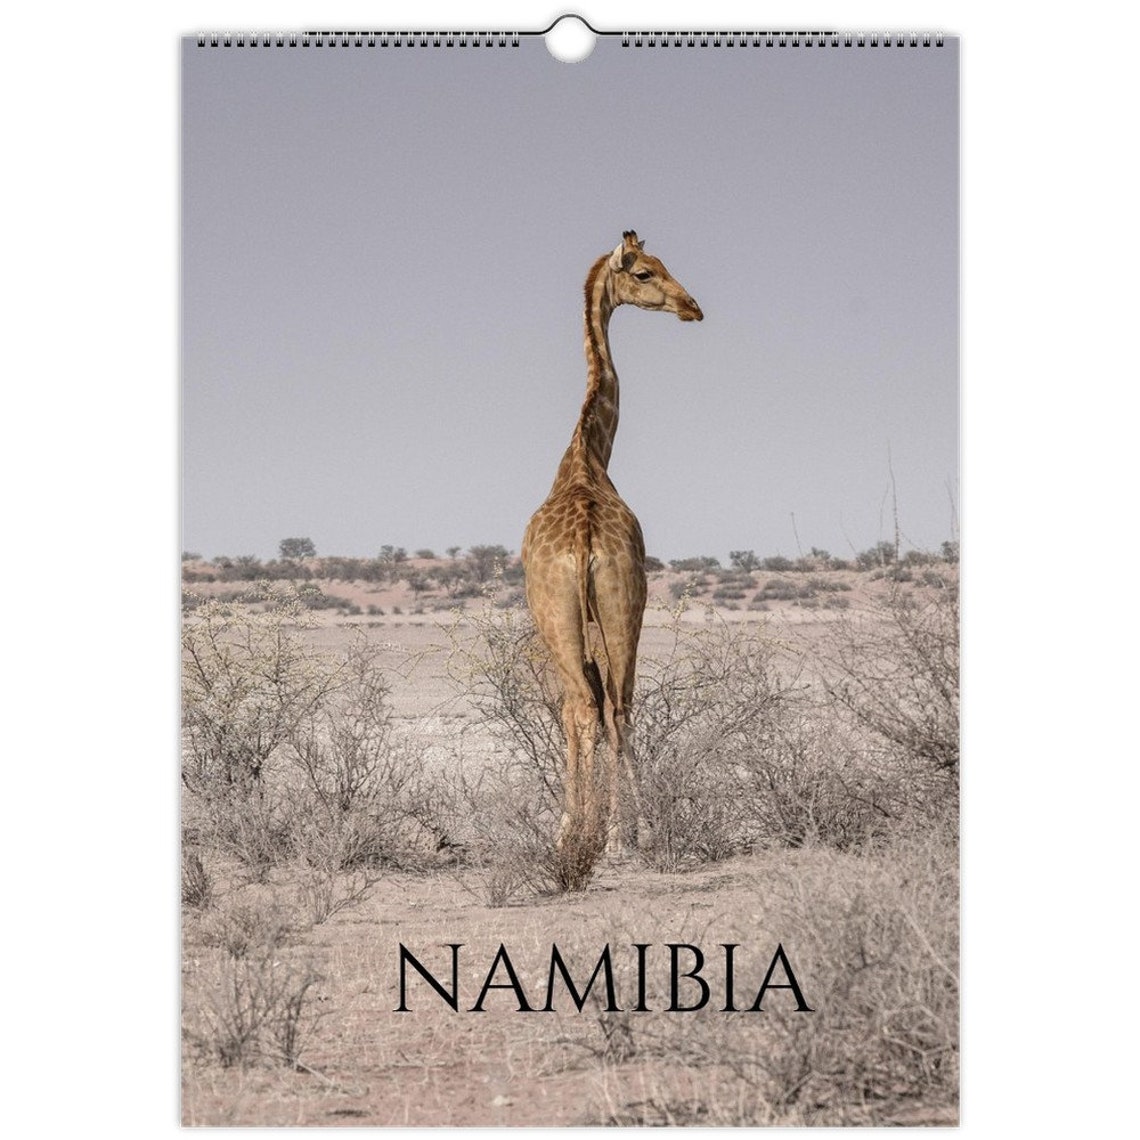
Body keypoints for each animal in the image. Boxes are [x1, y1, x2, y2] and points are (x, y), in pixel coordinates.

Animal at [521, 231, 702, 882]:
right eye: (646, 272)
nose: (692, 307)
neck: (588, 453)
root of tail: (582, 544)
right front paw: (597, 830)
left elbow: (587, 713)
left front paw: (579, 829)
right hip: (617, 608)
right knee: (611, 705)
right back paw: (622, 835)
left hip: (567, 618)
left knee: (587, 706)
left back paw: (597, 837)